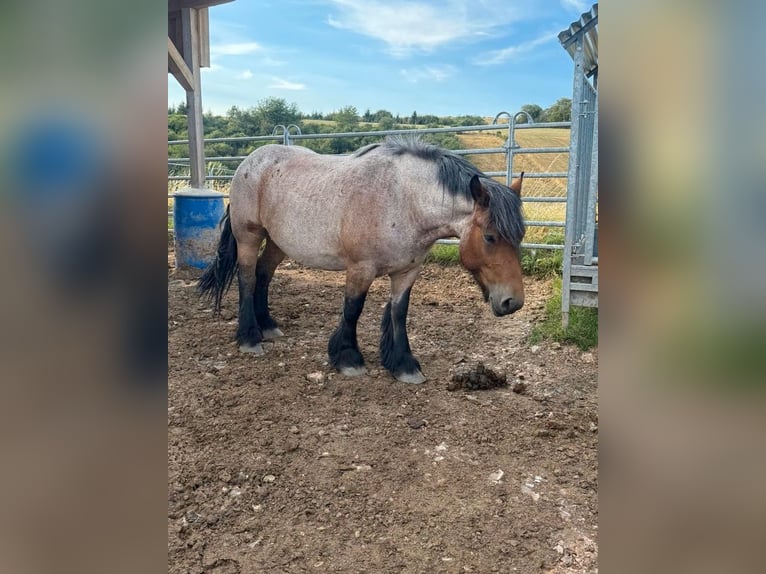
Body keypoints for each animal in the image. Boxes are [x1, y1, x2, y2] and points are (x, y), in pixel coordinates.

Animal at [198, 135, 526, 384]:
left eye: (520, 236)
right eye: (490, 237)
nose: (513, 302)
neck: (403, 200)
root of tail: (250, 161)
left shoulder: (408, 271)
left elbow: (399, 313)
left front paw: (404, 364)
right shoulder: (360, 269)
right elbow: (352, 309)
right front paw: (347, 358)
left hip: (279, 242)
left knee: (264, 276)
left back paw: (267, 325)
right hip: (249, 237)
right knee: (247, 278)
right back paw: (250, 338)